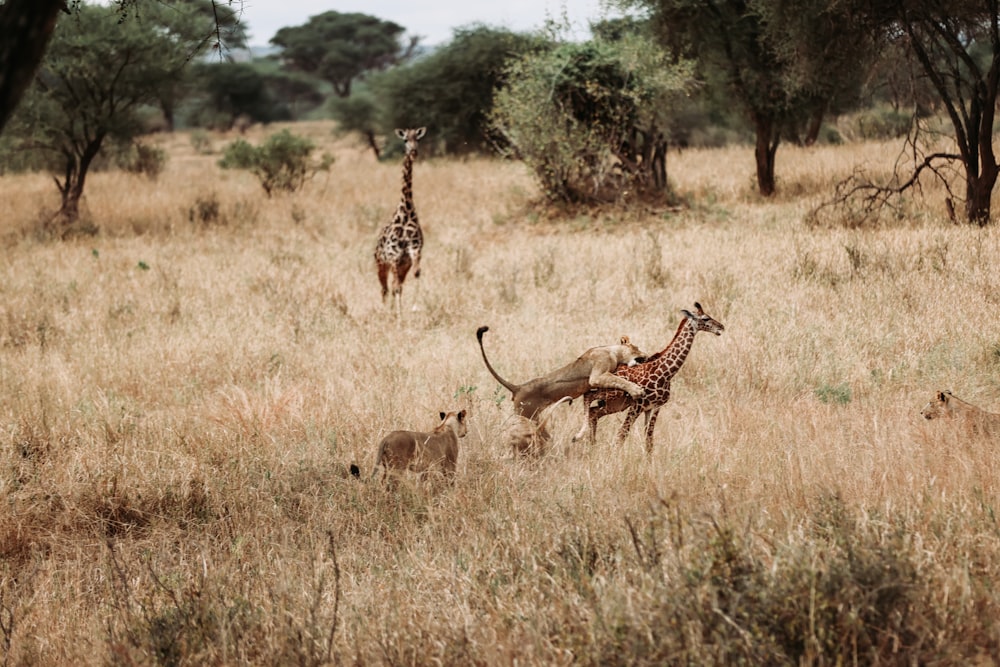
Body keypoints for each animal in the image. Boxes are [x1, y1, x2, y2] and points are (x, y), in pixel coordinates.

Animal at [374, 126, 424, 314]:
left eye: (418, 138)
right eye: (405, 140)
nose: (413, 152)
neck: (406, 209)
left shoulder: (414, 250)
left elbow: (417, 273)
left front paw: (415, 307)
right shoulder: (394, 256)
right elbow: (395, 288)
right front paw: (399, 317)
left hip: (402, 266)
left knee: (395, 286)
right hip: (381, 264)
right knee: (385, 288)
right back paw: (386, 313)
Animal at [476, 324, 648, 422]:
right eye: (638, 347)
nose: (647, 356)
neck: (613, 351)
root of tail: (518, 387)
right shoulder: (597, 374)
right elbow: (620, 380)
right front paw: (637, 390)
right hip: (525, 413)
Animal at [572, 304, 728, 454]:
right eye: (705, 318)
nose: (721, 327)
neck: (665, 373)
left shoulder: (655, 407)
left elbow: (649, 440)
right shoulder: (638, 405)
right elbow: (622, 434)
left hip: (616, 404)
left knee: (594, 413)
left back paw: (592, 446)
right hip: (612, 395)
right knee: (589, 399)